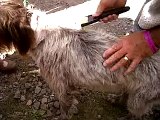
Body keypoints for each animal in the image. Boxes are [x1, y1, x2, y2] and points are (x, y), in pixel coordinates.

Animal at [0, 2, 160, 120]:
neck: (41, 36)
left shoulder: (59, 85)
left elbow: (64, 105)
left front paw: (63, 116)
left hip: (139, 100)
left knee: (135, 113)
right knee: (126, 94)